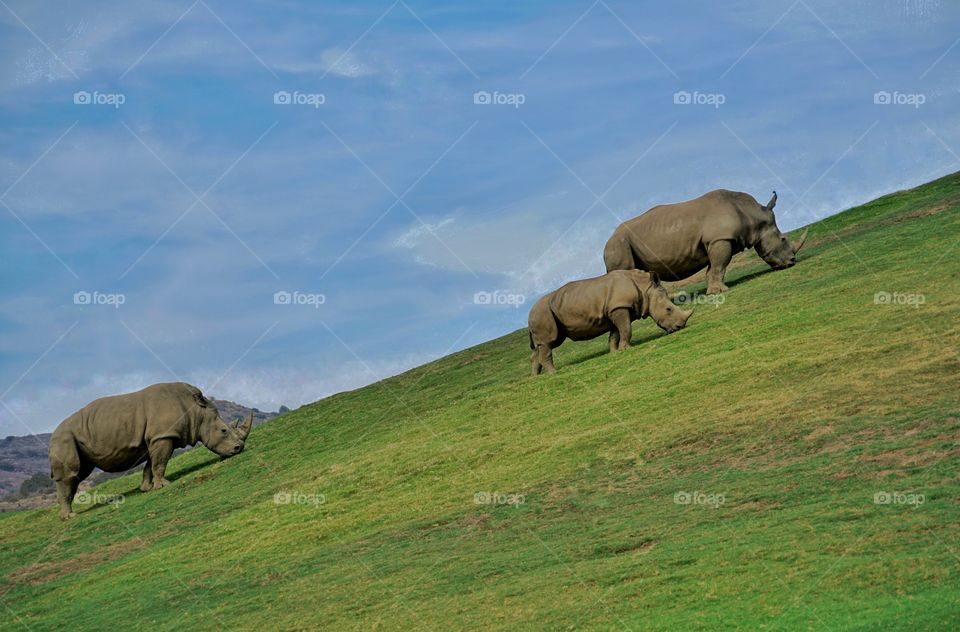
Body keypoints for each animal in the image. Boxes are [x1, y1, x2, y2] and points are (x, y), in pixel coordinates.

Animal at [49, 380, 251, 520]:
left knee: (79, 473)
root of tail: (53, 434)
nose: (239, 448)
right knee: (71, 473)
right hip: (64, 438)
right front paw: (164, 485)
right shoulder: (163, 435)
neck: (196, 411)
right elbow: (160, 462)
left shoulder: (155, 438)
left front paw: (147, 488)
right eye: (224, 431)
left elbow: (150, 465)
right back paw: (70, 517)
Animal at [528, 268, 692, 376]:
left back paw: (536, 377)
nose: (680, 327)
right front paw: (627, 349)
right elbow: (626, 329)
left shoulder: (616, 310)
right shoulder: (619, 307)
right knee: (549, 342)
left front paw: (615, 352)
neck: (644, 288)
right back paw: (553, 373)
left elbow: (616, 333)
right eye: (668, 309)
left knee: (544, 344)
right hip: (542, 314)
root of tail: (529, 316)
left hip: (544, 313)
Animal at [604, 189, 808, 296]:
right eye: (783, 239)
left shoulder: (714, 241)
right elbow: (720, 265)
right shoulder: (720, 239)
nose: (792, 261)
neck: (752, 215)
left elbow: (714, 268)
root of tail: (607, 240)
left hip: (621, 244)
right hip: (618, 245)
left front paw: (713, 290)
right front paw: (721, 291)